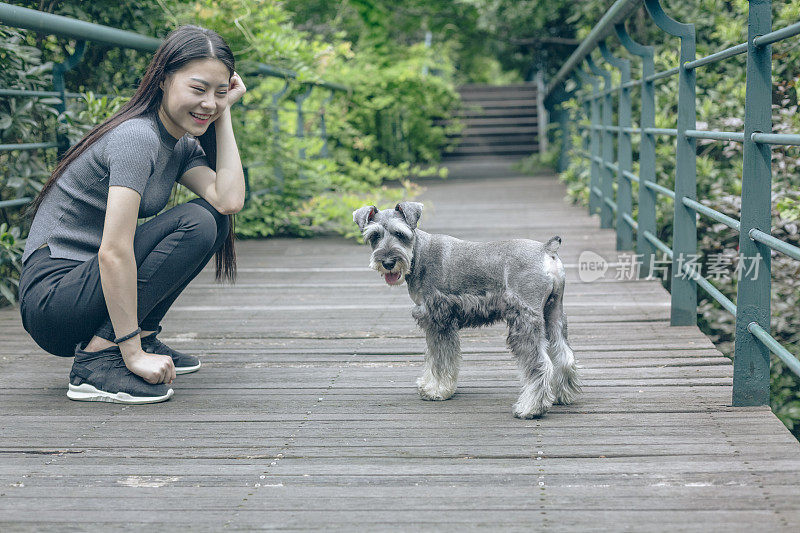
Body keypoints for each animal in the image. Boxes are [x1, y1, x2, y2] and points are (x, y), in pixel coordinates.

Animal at [354, 202, 580, 418]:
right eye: (374, 236)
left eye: (400, 234)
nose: (388, 262)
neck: (419, 254)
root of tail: (546, 249)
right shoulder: (434, 321)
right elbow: (433, 355)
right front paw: (428, 384)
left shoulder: (438, 319)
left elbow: (440, 358)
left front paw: (436, 390)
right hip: (553, 313)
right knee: (564, 355)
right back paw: (562, 395)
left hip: (525, 319)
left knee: (540, 364)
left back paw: (530, 408)